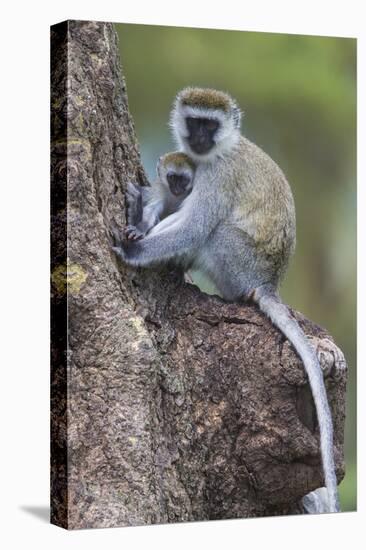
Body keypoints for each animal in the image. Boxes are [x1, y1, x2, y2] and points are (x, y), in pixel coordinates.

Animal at [113, 86, 340, 512]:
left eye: (210, 125)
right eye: (194, 122)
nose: (199, 139)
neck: (219, 152)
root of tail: (266, 283)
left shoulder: (216, 177)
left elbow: (195, 226)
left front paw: (135, 248)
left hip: (236, 261)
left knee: (214, 232)